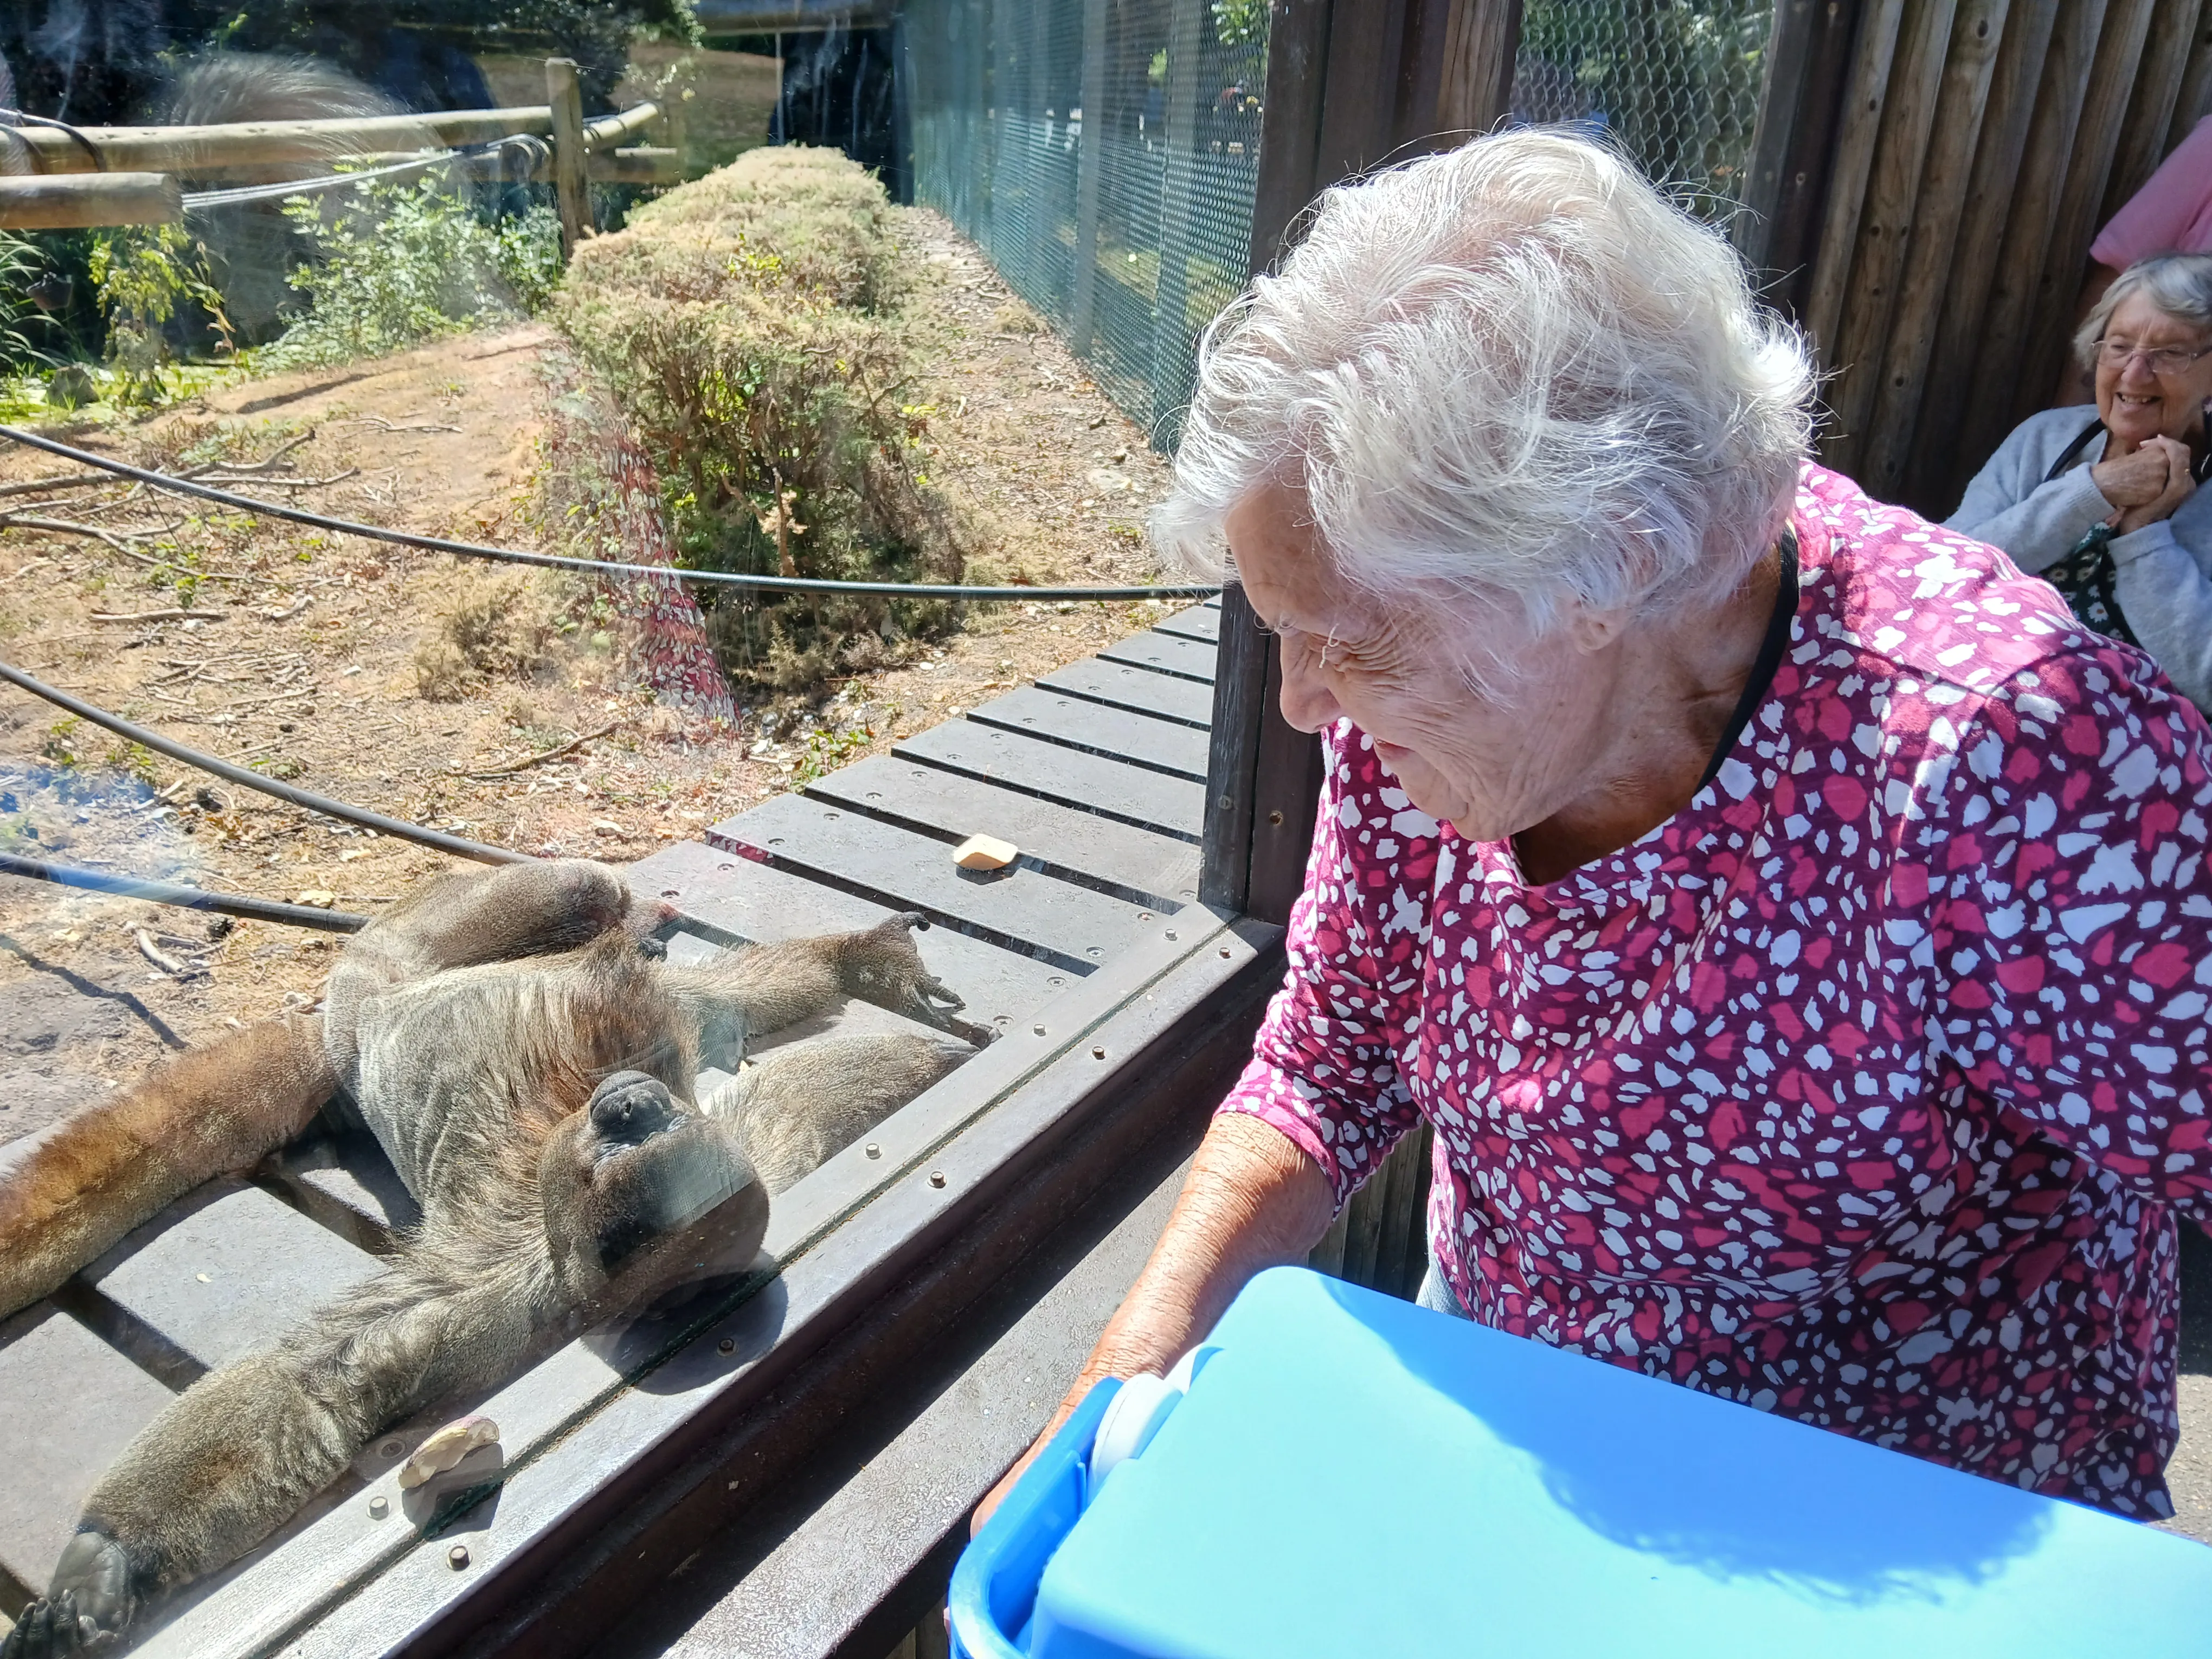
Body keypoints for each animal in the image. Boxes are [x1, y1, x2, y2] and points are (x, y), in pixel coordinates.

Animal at [0, 859, 971, 1655]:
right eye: (634, 1130)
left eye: (623, 1155)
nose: (627, 1103)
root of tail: (334, 1032)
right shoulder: (746, 1144)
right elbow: (801, 1097)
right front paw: (104, 1570)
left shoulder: (494, 1298)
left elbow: (325, 1384)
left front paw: (108, 1570)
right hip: (395, 979)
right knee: (612, 919)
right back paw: (834, 955)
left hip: (372, 974)